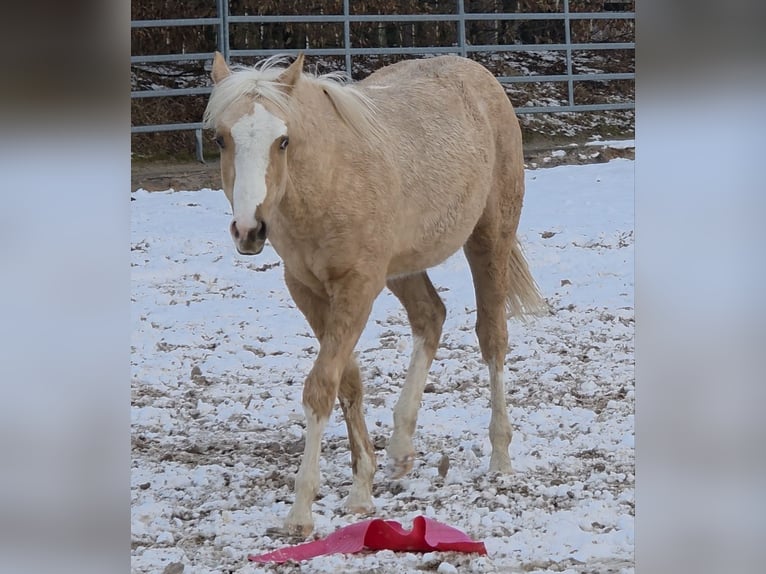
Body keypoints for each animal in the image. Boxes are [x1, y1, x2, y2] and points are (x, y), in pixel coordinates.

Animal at [203, 51, 547, 536]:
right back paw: (400, 450)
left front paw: (301, 511)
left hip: (489, 239)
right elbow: (347, 381)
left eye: (283, 141)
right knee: (430, 317)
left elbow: (321, 387)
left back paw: (500, 456)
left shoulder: (358, 287)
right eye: (220, 139)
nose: (249, 230)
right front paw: (362, 487)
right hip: (402, 266)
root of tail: (478, 74)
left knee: (492, 337)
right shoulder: (307, 289)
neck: (328, 180)